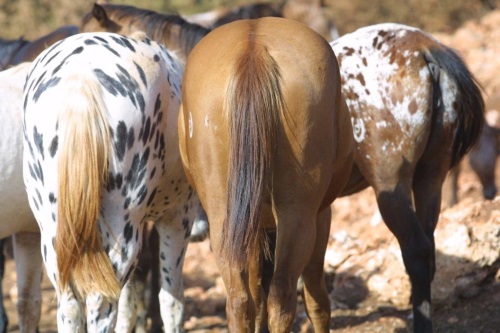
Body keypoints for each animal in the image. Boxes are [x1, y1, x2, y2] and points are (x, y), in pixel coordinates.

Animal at [21, 30, 200, 330]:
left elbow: (129, 304)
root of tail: (80, 76)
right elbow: (171, 302)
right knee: (101, 303)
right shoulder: (177, 219)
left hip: (55, 233)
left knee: (70, 304)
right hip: (124, 230)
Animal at [178, 17, 354, 332]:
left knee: (240, 300)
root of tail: (254, 50)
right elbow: (316, 300)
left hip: (225, 220)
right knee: (282, 297)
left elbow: (256, 296)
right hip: (298, 215)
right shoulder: (322, 215)